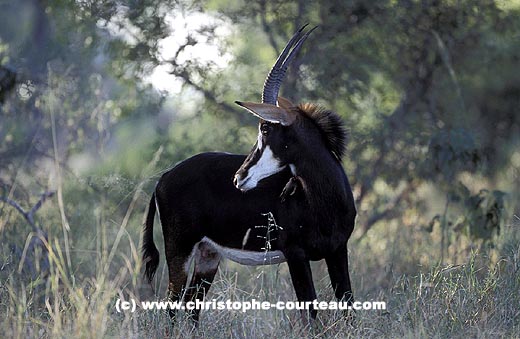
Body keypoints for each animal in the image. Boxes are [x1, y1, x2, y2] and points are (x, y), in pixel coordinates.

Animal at [141, 25, 358, 324]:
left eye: (266, 129)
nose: (239, 177)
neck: (324, 199)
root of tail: (163, 178)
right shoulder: (296, 254)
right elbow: (310, 312)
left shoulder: (338, 250)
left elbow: (348, 307)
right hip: (180, 249)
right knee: (173, 306)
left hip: (208, 255)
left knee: (191, 307)